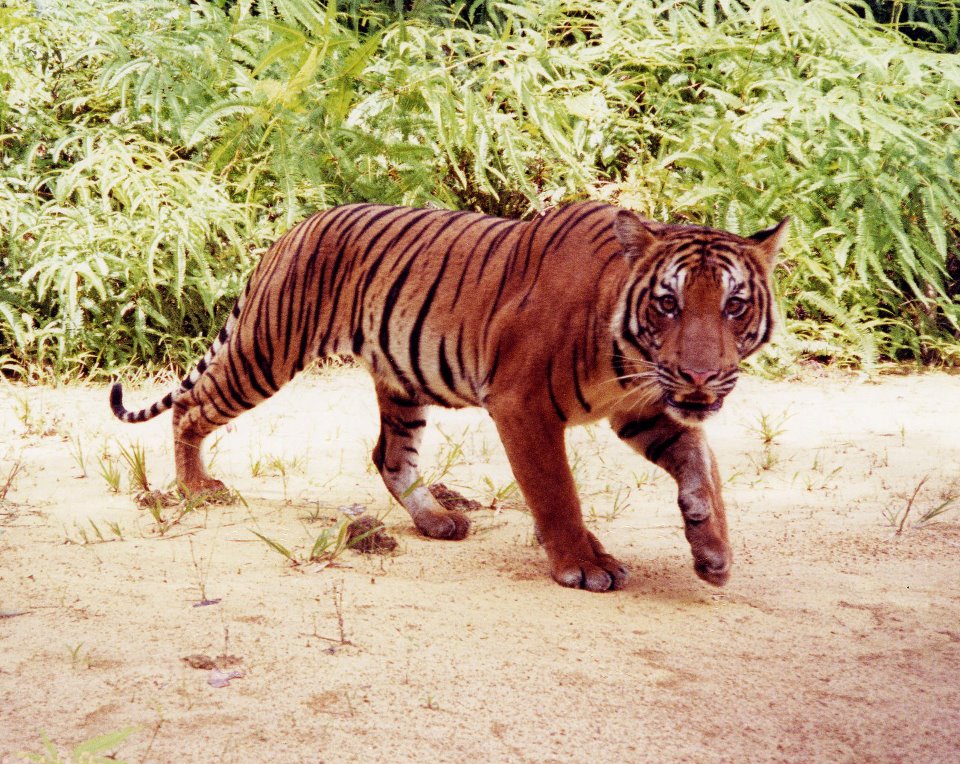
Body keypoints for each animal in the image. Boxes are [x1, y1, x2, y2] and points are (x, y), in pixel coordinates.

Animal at [110, 201, 788, 592]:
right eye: (668, 303)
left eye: (734, 304)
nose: (701, 376)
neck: (628, 356)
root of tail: (297, 227)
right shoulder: (522, 405)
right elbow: (557, 493)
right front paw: (584, 564)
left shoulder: (646, 408)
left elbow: (702, 466)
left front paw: (712, 549)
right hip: (266, 351)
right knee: (191, 409)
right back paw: (196, 488)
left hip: (402, 382)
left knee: (390, 457)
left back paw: (436, 520)